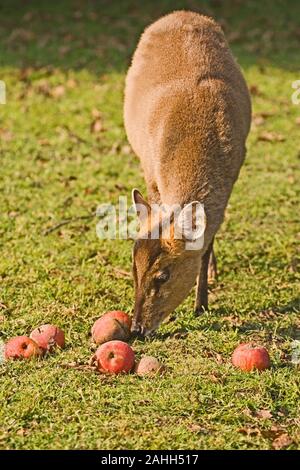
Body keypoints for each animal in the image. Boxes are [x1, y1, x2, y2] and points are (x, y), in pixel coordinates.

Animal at [123, 10, 252, 334]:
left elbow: (206, 241)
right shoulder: (151, 173)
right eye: (133, 269)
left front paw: (201, 304)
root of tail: (179, 13)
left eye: (163, 275)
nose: (136, 329)